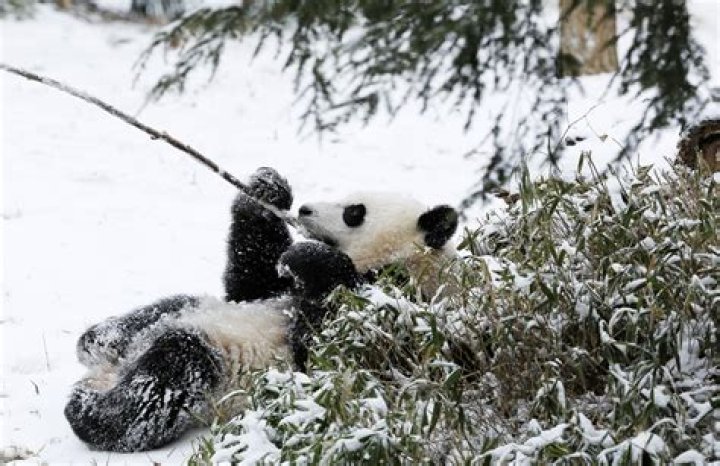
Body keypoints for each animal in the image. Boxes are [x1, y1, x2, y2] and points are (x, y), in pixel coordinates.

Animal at [64, 167, 459, 452]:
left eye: (354, 212)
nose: (305, 210)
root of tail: (109, 373)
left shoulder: (397, 310)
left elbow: (325, 342)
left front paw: (305, 254)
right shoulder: (271, 290)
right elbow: (251, 278)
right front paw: (267, 189)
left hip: (217, 376)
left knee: (169, 376)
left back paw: (89, 410)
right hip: (186, 313)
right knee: (164, 310)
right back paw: (99, 339)